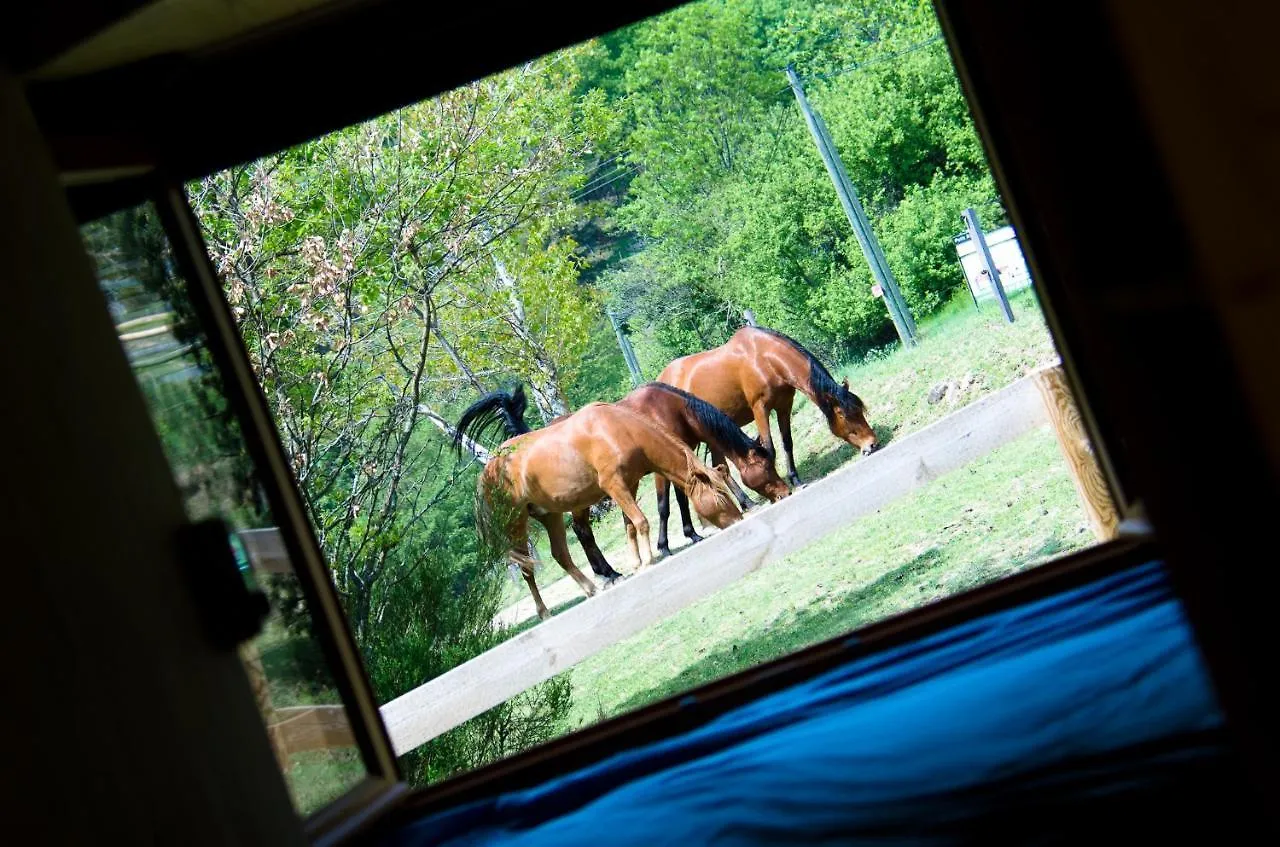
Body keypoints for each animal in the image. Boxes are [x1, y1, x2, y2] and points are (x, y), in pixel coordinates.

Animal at [458, 388, 742, 621]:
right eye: (721, 497)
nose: (738, 520)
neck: (619, 430)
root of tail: (490, 468)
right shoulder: (614, 485)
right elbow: (642, 521)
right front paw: (650, 559)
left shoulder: (630, 484)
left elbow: (630, 526)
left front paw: (636, 563)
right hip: (516, 523)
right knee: (527, 567)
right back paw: (545, 611)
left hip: (550, 516)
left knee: (561, 554)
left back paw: (593, 587)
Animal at [660, 326, 880, 491]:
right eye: (844, 415)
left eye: (859, 410)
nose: (872, 444)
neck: (765, 358)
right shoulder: (760, 409)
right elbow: (769, 447)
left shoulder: (784, 406)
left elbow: (787, 443)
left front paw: (796, 480)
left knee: (718, 465)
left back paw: (746, 503)